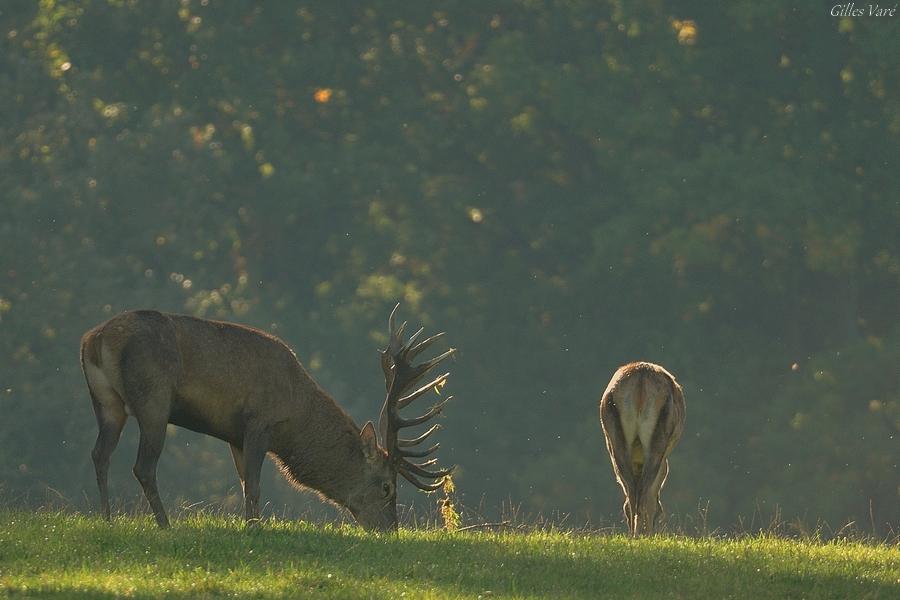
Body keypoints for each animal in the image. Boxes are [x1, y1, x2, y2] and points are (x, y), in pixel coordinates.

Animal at [80, 304, 454, 528]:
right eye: (387, 487)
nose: (390, 529)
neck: (296, 415)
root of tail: (94, 340)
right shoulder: (260, 421)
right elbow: (255, 484)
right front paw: (254, 528)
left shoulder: (234, 435)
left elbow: (245, 481)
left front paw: (251, 523)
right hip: (153, 400)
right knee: (143, 466)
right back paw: (165, 524)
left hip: (106, 402)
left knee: (99, 454)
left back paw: (107, 518)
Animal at [600, 360, 684, 536]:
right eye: (660, 514)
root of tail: (640, 381)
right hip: (658, 440)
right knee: (644, 491)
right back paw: (640, 534)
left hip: (616, 441)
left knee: (632, 490)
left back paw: (633, 534)